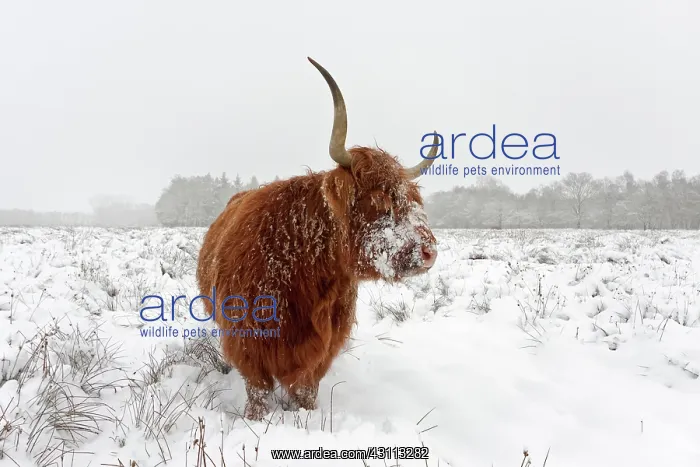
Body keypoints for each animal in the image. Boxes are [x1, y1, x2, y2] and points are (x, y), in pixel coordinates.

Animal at [196, 57, 439, 421]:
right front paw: (255, 419)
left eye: (414, 201)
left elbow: (305, 391)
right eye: (380, 202)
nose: (429, 251)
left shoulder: (322, 347)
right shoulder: (248, 343)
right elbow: (258, 393)